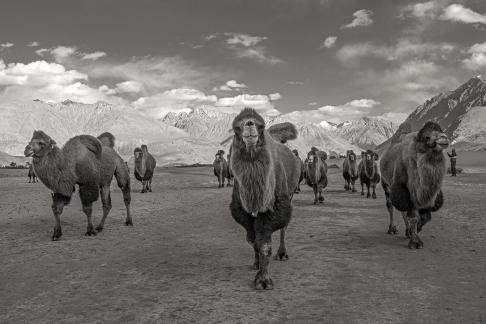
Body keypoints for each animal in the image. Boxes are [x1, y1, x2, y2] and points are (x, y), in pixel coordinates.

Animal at [228, 107, 300, 290]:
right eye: (236, 127)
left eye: (261, 126)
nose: (249, 123)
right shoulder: (241, 209)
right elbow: (253, 239)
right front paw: (257, 265)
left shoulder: (277, 206)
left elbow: (264, 243)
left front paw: (263, 280)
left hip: (289, 195)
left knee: (283, 228)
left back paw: (282, 254)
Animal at [380, 120, 448, 249]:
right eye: (427, 137)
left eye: (441, 131)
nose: (444, 138)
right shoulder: (404, 187)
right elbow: (414, 217)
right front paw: (415, 242)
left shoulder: (424, 194)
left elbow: (425, 217)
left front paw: (415, 231)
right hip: (386, 184)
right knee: (390, 206)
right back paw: (392, 229)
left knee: (402, 210)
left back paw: (407, 231)